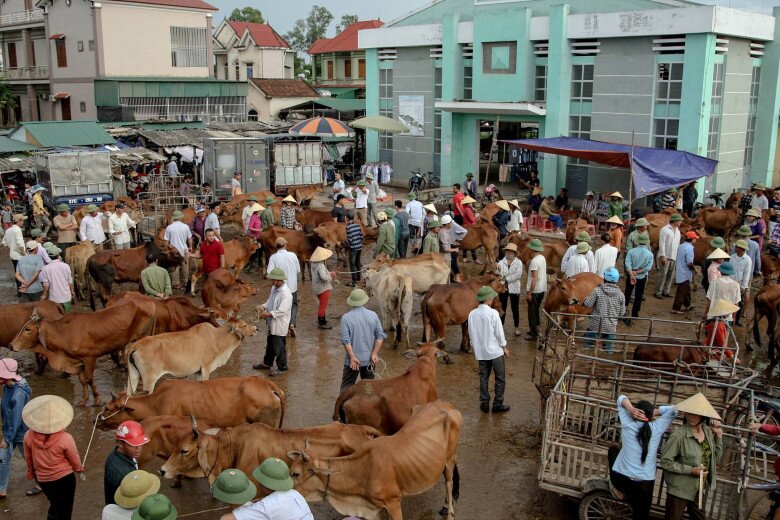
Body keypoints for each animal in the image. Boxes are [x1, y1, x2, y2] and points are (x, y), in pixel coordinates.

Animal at [10, 298, 157, 404]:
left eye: (28, 329)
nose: (11, 345)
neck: (63, 333)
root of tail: (149, 302)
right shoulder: (78, 362)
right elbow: (82, 381)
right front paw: (83, 400)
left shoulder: (90, 358)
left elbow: (89, 379)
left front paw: (97, 399)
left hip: (142, 338)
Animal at [126, 316, 258, 394]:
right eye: (244, 325)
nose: (256, 328)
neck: (217, 337)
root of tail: (136, 345)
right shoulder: (206, 367)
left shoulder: (197, 371)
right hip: (149, 381)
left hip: (133, 378)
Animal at [292, 402, 464, 520]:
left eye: (295, 473)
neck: (362, 468)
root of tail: (447, 405)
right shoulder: (379, 507)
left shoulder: (393, 502)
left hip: (450, 458)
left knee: (449, 483)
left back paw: (450, 512)